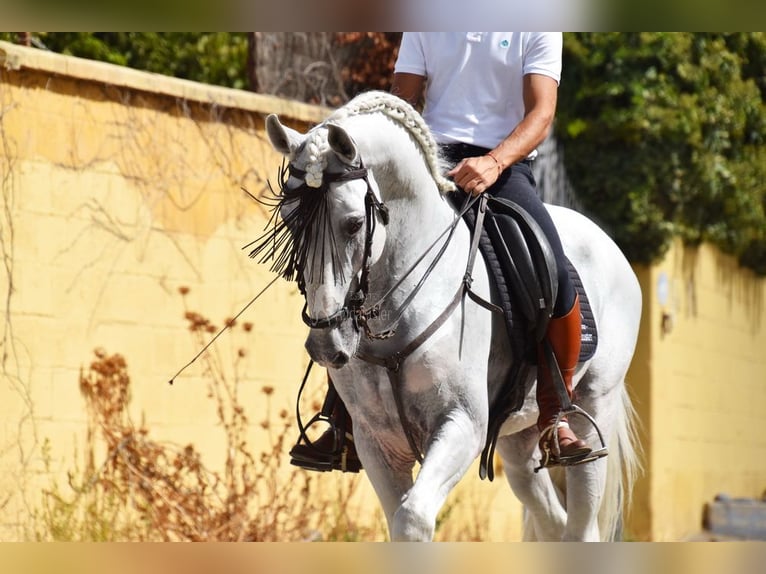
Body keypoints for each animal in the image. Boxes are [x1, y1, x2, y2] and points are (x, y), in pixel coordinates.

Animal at [262, 92, 640, 544]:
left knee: (582, 525)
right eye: (289, 220)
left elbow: (412, 519)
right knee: (552, 520)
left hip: (595, 407)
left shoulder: (462, 424)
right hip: (518, 438)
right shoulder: (377, 443)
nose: (325, 345)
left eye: (353, 224)